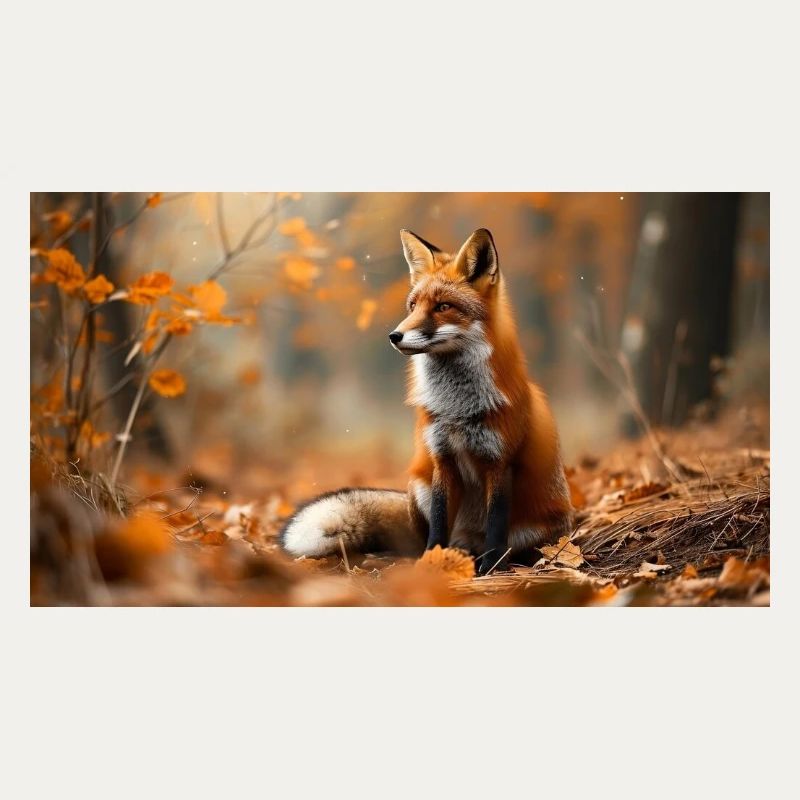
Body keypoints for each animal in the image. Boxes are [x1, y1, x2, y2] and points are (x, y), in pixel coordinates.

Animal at [280, 228, 573, 575]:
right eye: (412, 306)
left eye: (443, 306)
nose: (394, 336)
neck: (457, 409)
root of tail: (468, 539)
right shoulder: (441, 458)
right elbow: (438, 523)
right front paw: (431, 563)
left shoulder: (499, 462)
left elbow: (496, 527)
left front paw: (490, 568)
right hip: (418, 485)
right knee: (420, 539)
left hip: (534, 529)